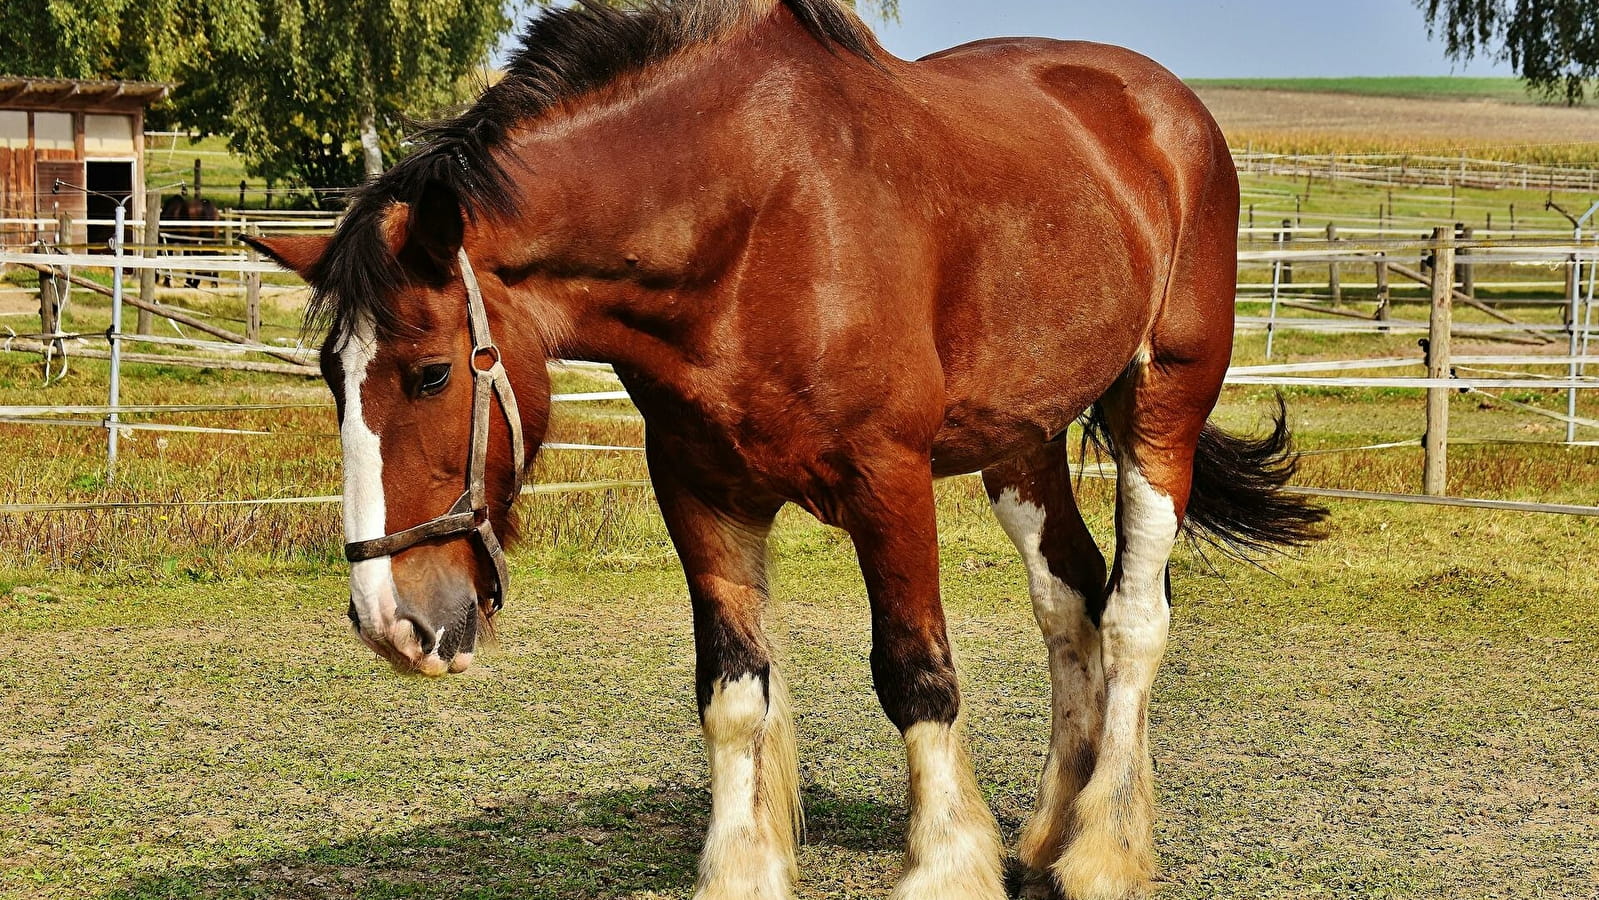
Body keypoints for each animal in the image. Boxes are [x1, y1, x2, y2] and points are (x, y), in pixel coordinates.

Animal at [249, 3, 1323, 895]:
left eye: (430, 373)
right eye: (332, 376)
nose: (389, 622)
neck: (752, 223)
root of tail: (1166, 109)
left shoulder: (888, 483)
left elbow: (916, 676)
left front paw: (943, 868)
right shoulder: (700, 492)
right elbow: (732, 691)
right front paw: (742, 871)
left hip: (1161, 404)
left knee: (1134, 617)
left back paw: (1101, 853)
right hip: (1021, 442)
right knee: (1070, 601)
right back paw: (1048, 837)